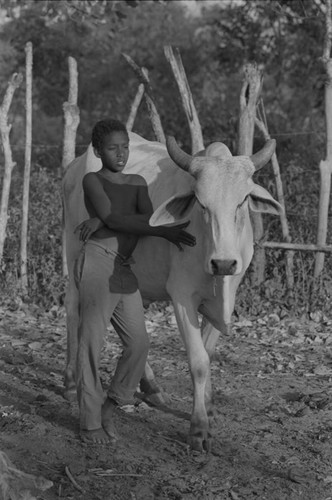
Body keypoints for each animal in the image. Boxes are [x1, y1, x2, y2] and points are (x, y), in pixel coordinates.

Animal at [61, 131, 280, 452]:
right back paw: (69, 382)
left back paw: (151, 388)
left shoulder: (228, 295)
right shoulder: (182, 297)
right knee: (73, 311)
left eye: (242, 202)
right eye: (201, 204)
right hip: (74, 256)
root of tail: (74, 168)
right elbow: (198, 361)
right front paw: (198, 429)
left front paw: (208, 407)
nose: (223, 263)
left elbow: (208, 352)